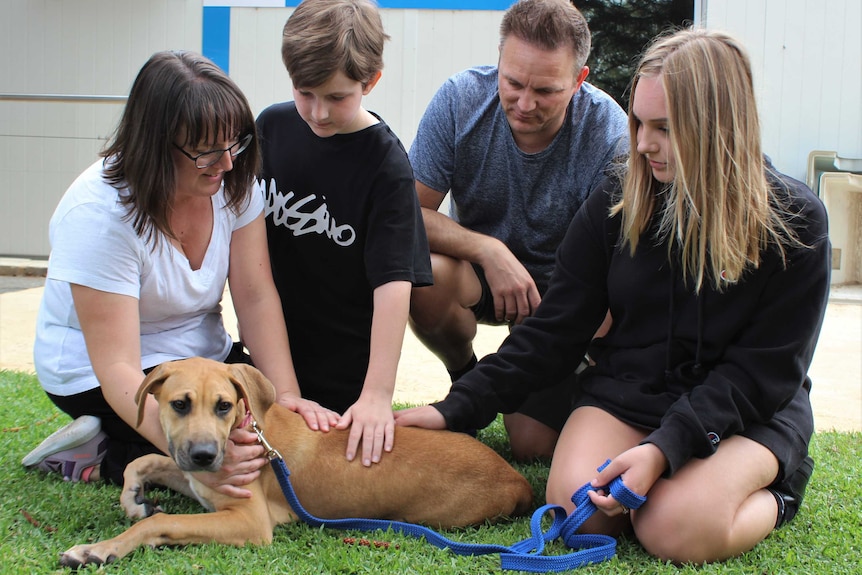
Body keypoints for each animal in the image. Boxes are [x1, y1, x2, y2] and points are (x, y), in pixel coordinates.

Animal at [60, 358, 532, 568]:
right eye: (179, 404)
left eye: (224, 405)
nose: (205, 455)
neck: (246, 432)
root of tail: (516, 479)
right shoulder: (202, 479)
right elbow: (147, 459)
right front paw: (133, 497)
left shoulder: (249, 523)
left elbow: (160, 522)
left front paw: (98, 548)